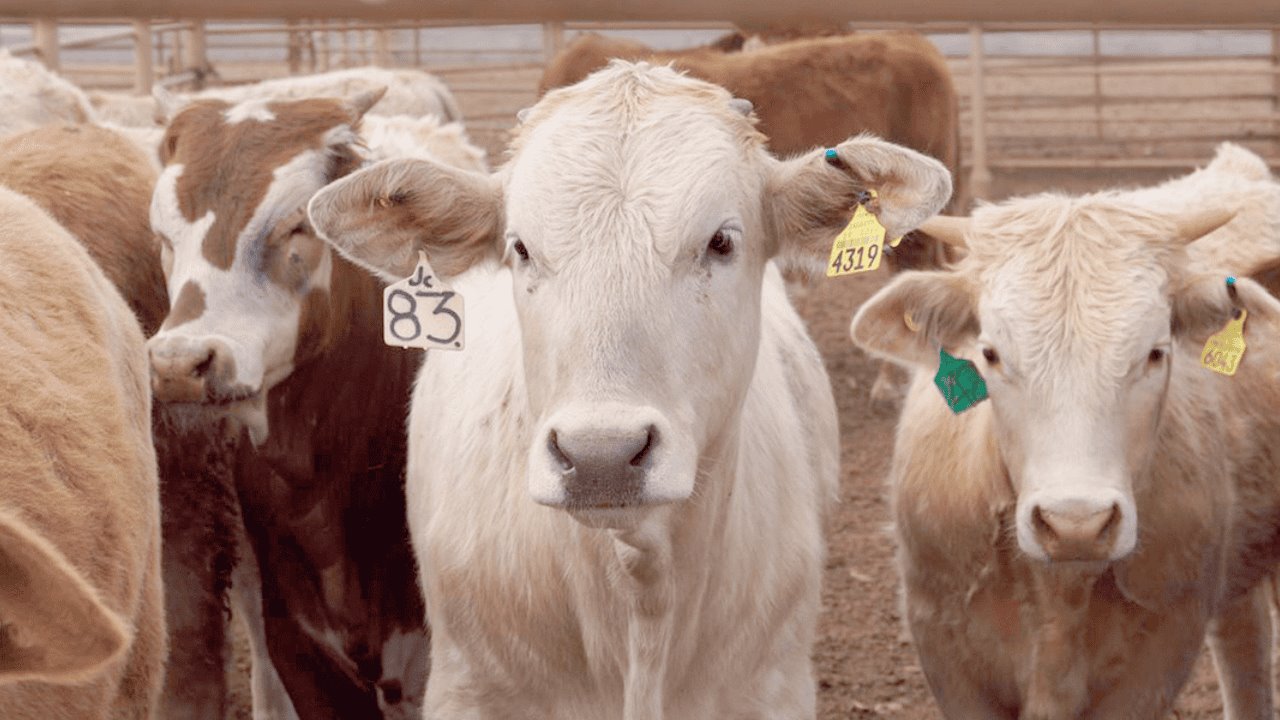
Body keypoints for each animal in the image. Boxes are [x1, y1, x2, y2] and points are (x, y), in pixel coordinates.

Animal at [849, 142, 1280, 712]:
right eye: (990, 353)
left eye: (1156, 352)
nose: (1078, 524)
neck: (1060, 591)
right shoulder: (944, 649)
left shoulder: (1161, 651)